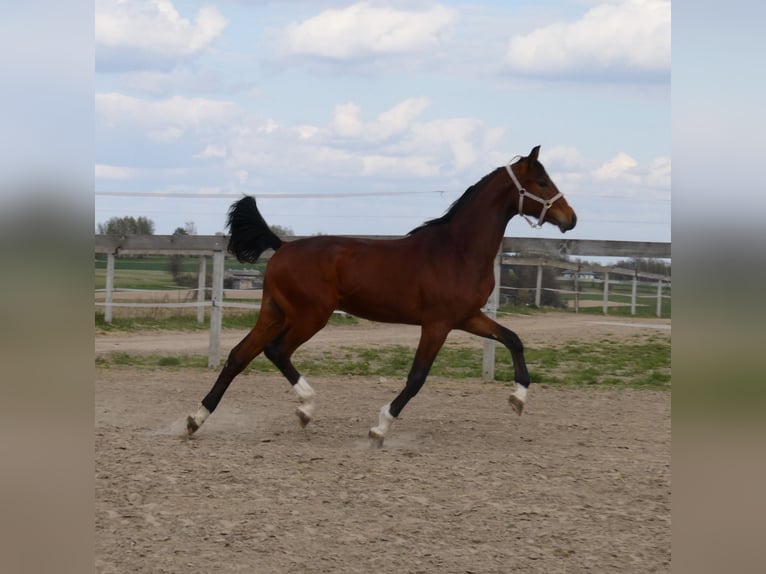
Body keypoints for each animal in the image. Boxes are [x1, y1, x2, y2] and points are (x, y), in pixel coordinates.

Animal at [186, 145, 577, 447]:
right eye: (542, 182)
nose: (570, 218)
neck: (458, 251)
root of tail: (282, 247)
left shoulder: (467, 317)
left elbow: (513, 339)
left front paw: (518, 399)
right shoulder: (437, 324)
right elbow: (417, 378)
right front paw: (379, 429)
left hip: (274, 311)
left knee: (238, 357)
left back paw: (195, 419)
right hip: (309, 316)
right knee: (276, 351)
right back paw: (305, 408)